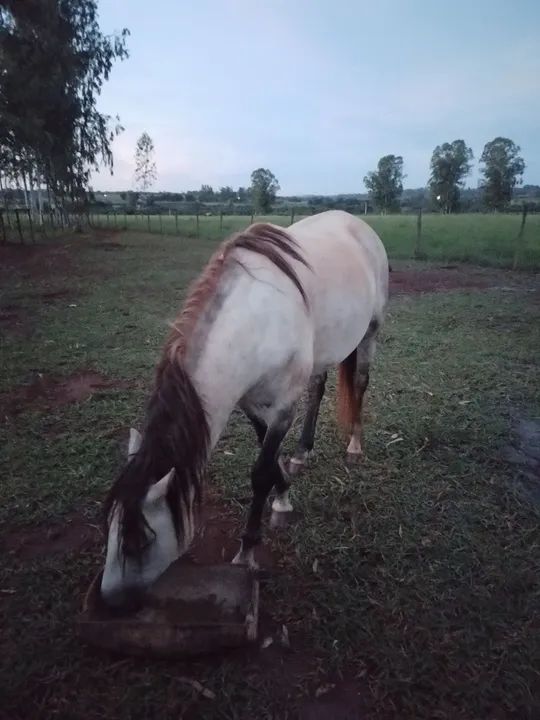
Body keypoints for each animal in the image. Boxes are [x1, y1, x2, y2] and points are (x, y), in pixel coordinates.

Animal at [101, 210, 389, 606]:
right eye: (109, 534)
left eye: (141, 544)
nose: (104, 604)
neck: (255, 320)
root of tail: (358, 224)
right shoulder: (250, 402)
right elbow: (267, 455)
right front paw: (283, 495)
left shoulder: (283, 405)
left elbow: (261, 471)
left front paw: (248, 551)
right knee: (317, 387)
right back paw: (302, 452)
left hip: (370, 331)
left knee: (359, 382)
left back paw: (355, 446)